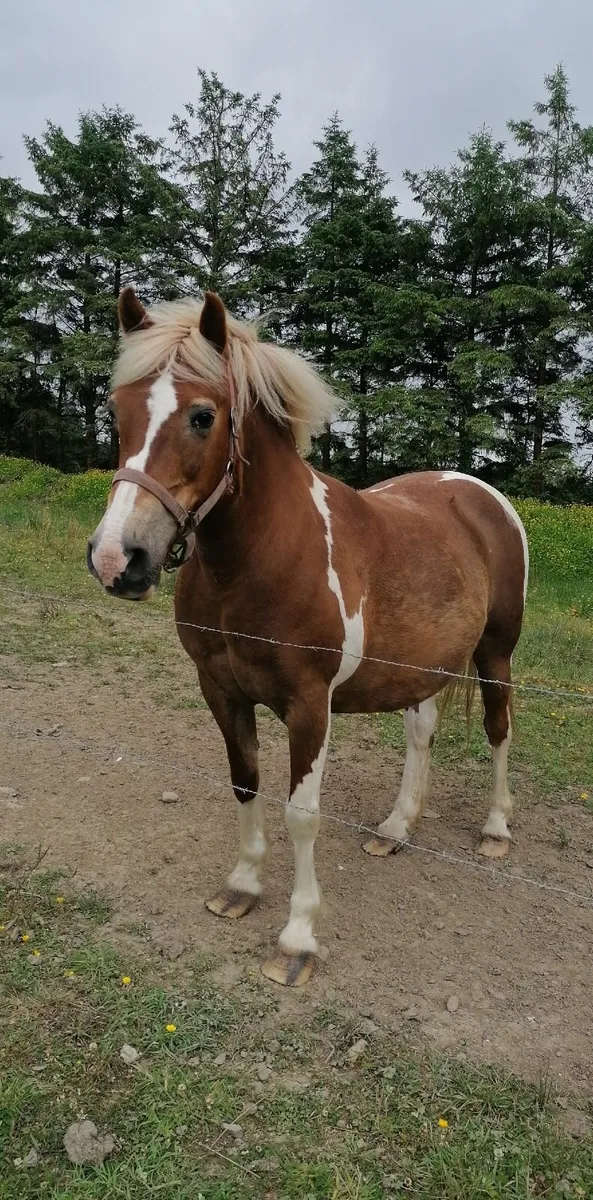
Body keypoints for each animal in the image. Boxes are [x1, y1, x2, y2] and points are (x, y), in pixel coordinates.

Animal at [88, 288, 529, 987]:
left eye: (203, 416)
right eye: (116, 409)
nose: (115, 559)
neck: (260, 557)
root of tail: (480, 493)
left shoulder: (307, 704)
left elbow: (302, 815)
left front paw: (296, 939)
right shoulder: (220, 690)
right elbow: (245, 783)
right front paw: (241, 887)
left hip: (496, 653)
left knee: (499, 728)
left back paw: (495, 829)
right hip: (423, 663)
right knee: (422, 731)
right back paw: (396, 827)